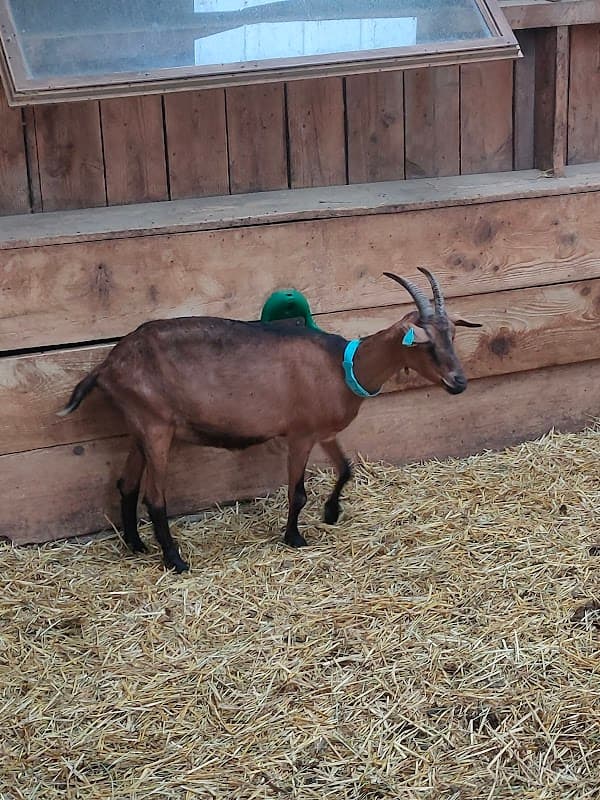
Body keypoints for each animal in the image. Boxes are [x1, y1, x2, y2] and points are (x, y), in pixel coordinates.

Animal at [58, 269, 480, 573]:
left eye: (453, 335)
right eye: (426, 343)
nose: (459, 383)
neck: (342, 365)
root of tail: (108, 364)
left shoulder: (324, 432)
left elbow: (346, 468)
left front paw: (331, 513)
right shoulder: (300, 435)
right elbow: (297, 491)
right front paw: (294, 537)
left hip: (141, 428)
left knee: (126, 483)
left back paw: (135, 545)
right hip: (157, 429)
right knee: (154, 497)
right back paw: (175, 560)